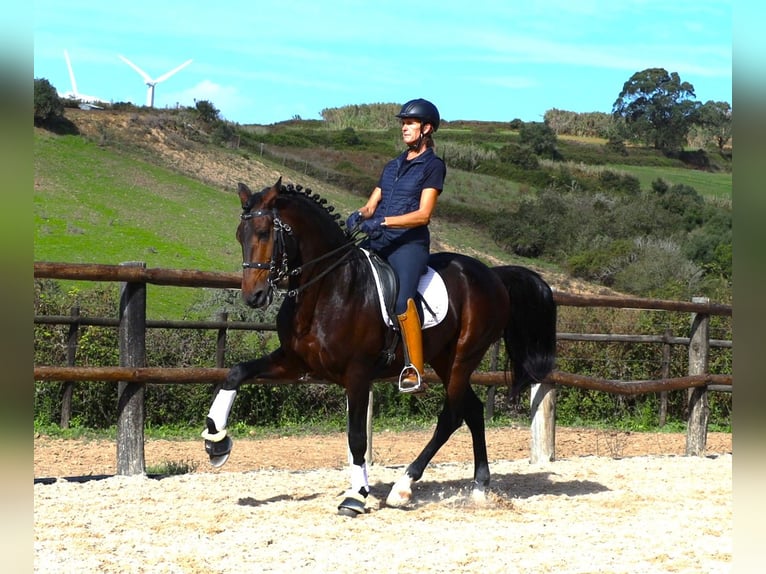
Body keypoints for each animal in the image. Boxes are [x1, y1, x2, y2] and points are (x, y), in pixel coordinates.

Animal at [201, 178, 556, 516]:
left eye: (264, 233)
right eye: (240, 235)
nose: (254, 296)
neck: (327, 289)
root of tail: (492, 275)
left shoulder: (357, 374)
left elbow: (357, 438)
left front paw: (356, 496)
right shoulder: (294, 362)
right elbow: (235, 373)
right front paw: (216, 441)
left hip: (462, 358)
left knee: (452, 416)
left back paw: (403, 487)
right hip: (444, 360)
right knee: (472, 410)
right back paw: (479, 487)